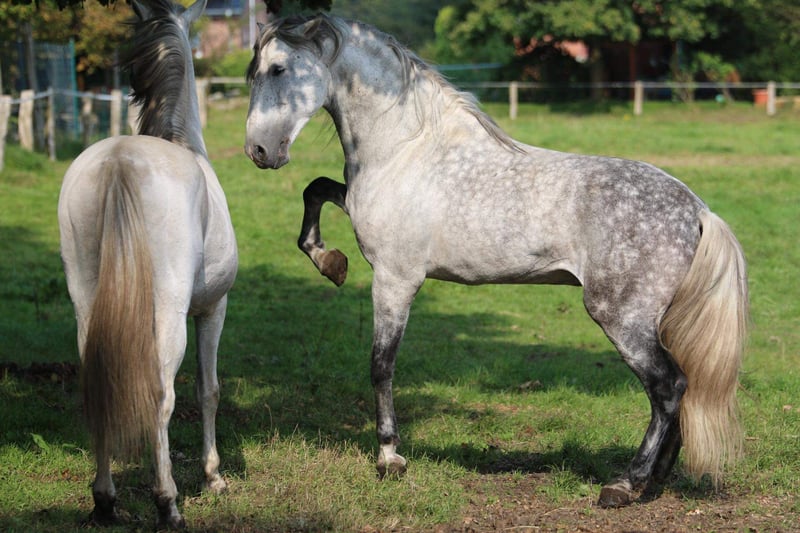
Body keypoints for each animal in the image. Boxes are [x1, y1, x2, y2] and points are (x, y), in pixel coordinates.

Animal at [58, 0, 237, 527]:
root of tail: (119, 160)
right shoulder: (213, 309)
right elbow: (207, 390)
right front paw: (213, 476)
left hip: (86, 303)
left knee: (98, 382)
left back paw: (104, 500)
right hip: (169, 314)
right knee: (162, 394)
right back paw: (168, 503)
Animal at [244, 15, 748, 508]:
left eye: (278, 69)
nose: (259, 151)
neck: (405, 148)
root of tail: (698, 211)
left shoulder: (394, 278)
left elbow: (381, 364)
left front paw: (389, 457)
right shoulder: (358, 214)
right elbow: (316, 189)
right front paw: (331, 262)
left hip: (622, 317)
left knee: (668, 387)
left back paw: (625, 485)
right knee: (681, 388)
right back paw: (654, 483)